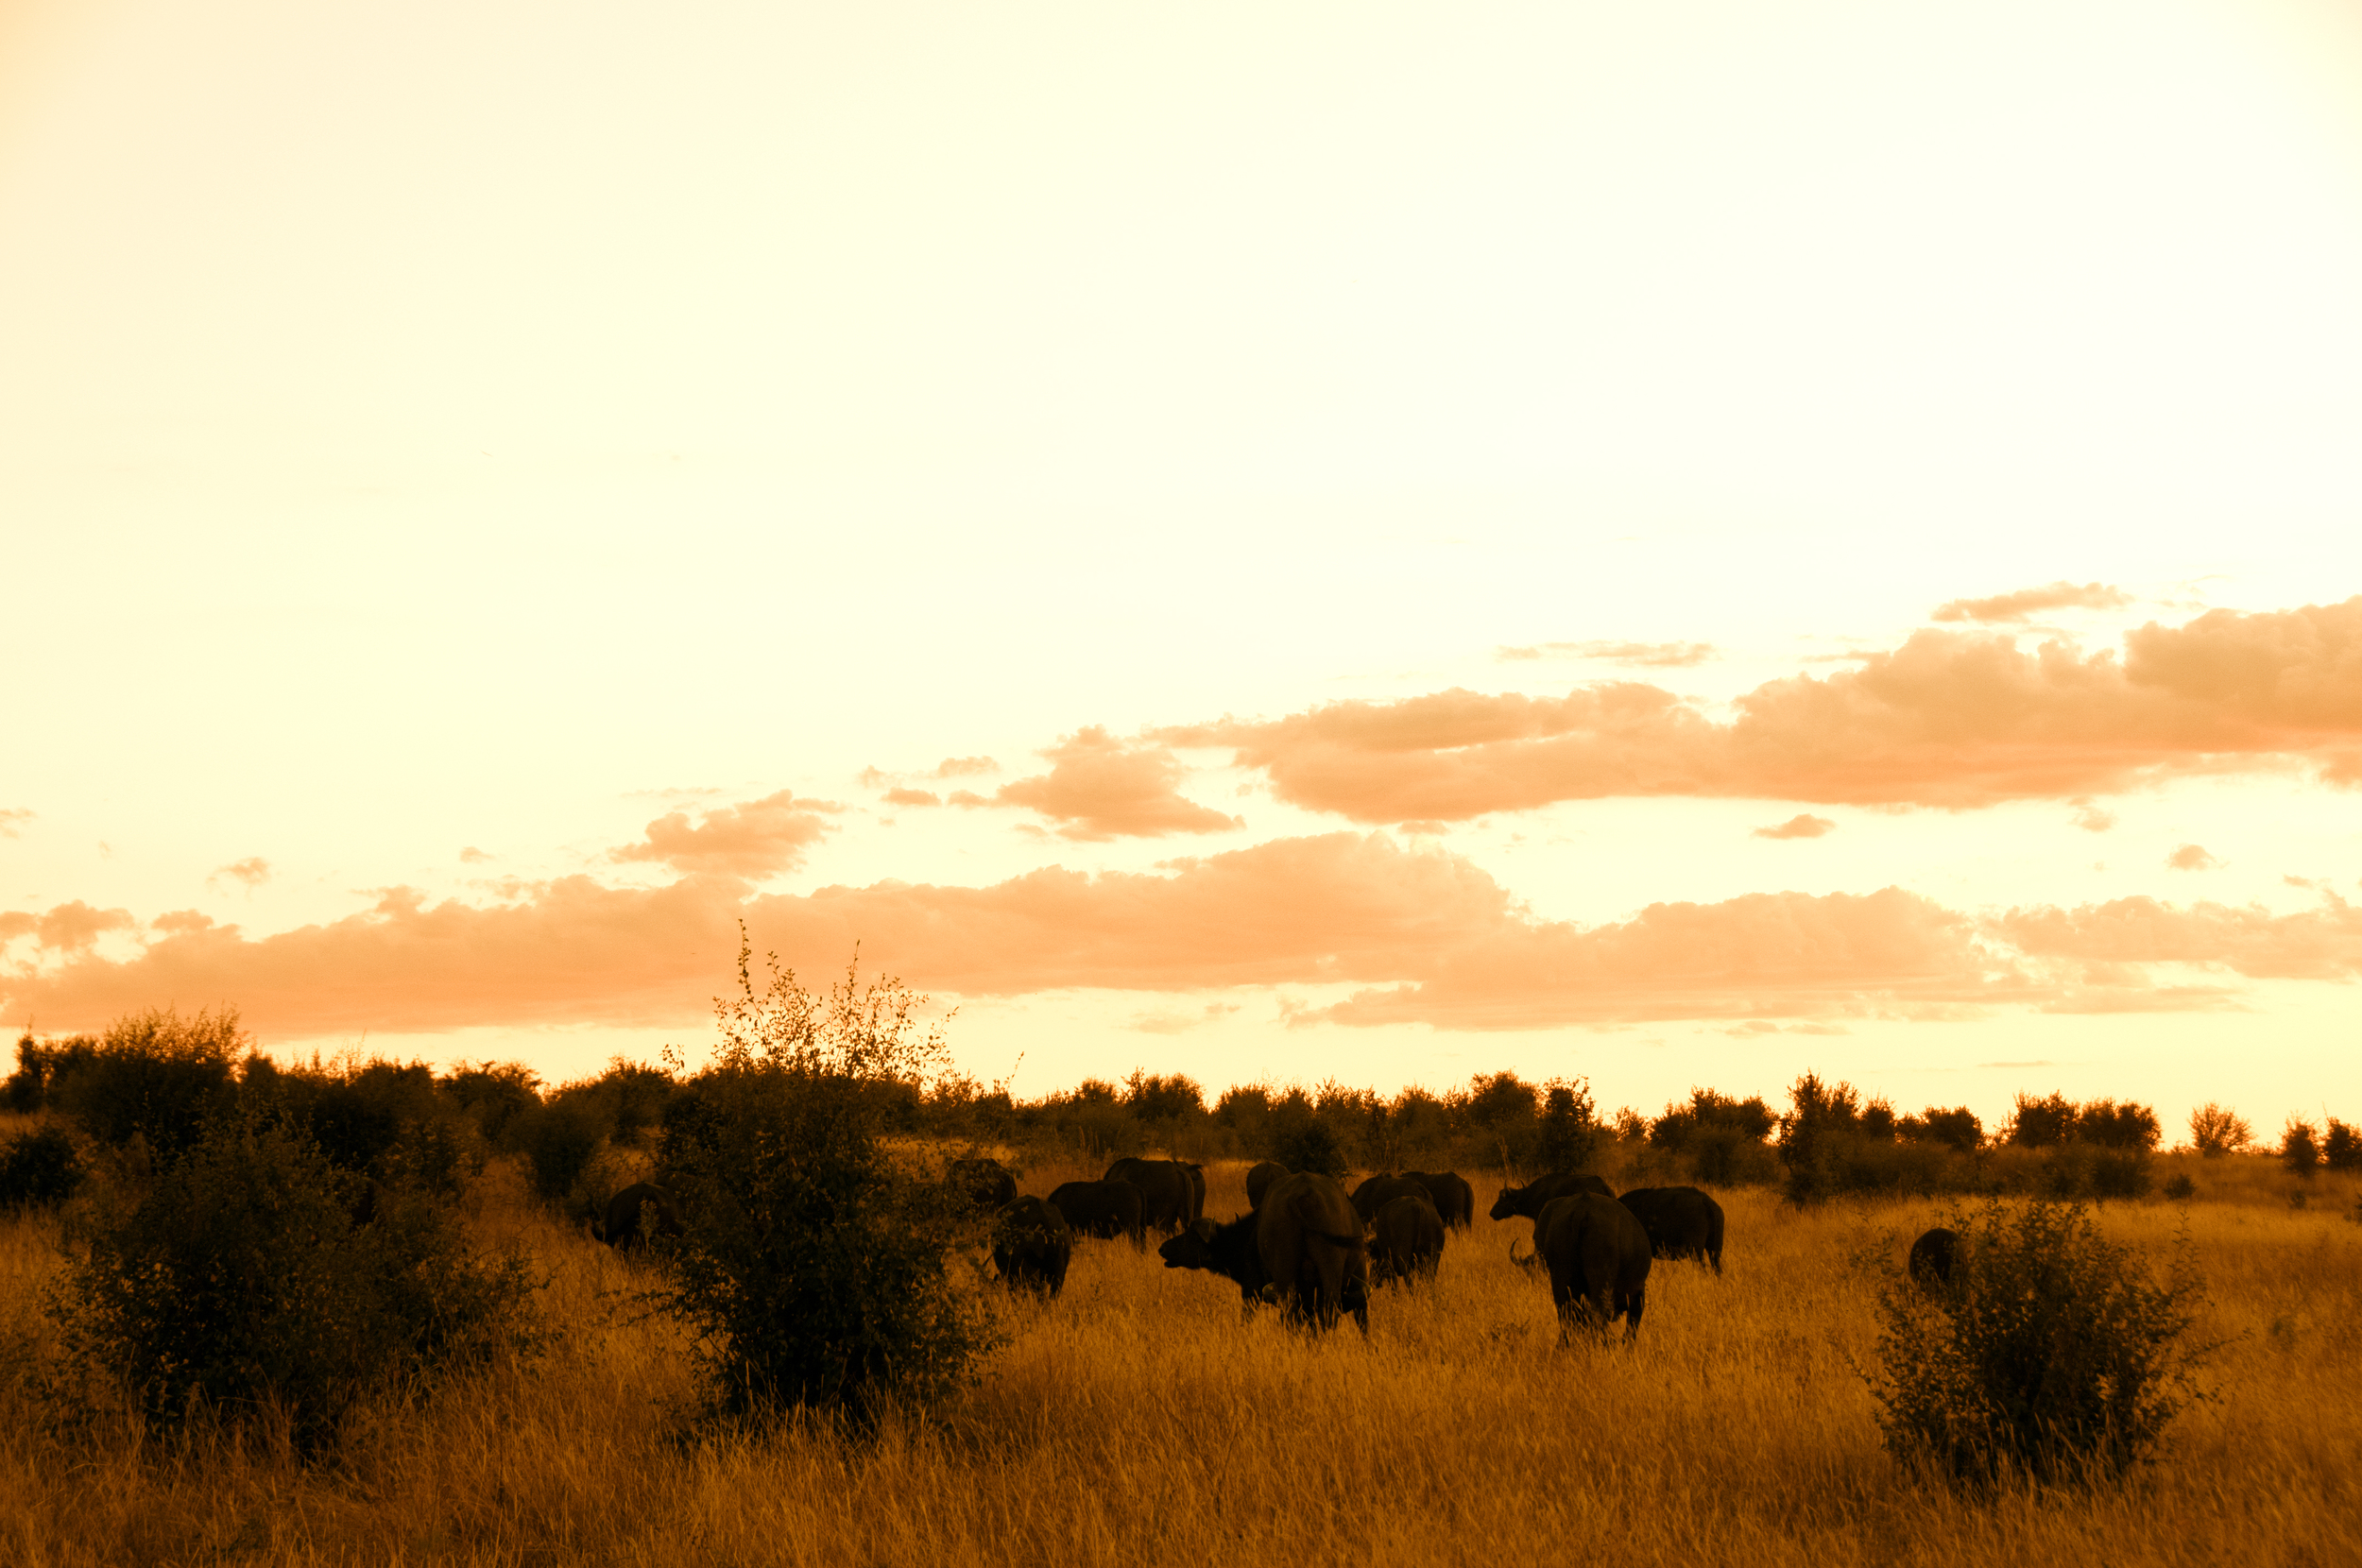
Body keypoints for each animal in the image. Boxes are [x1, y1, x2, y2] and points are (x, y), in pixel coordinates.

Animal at [1157, 1171, 1370, 1332]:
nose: (1162, 1248)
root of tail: (1304, 1193)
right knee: (1331, 1313)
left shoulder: (1250, 1289)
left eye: (1191, 1237)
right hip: (1330, 1274)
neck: (1248, 1236)